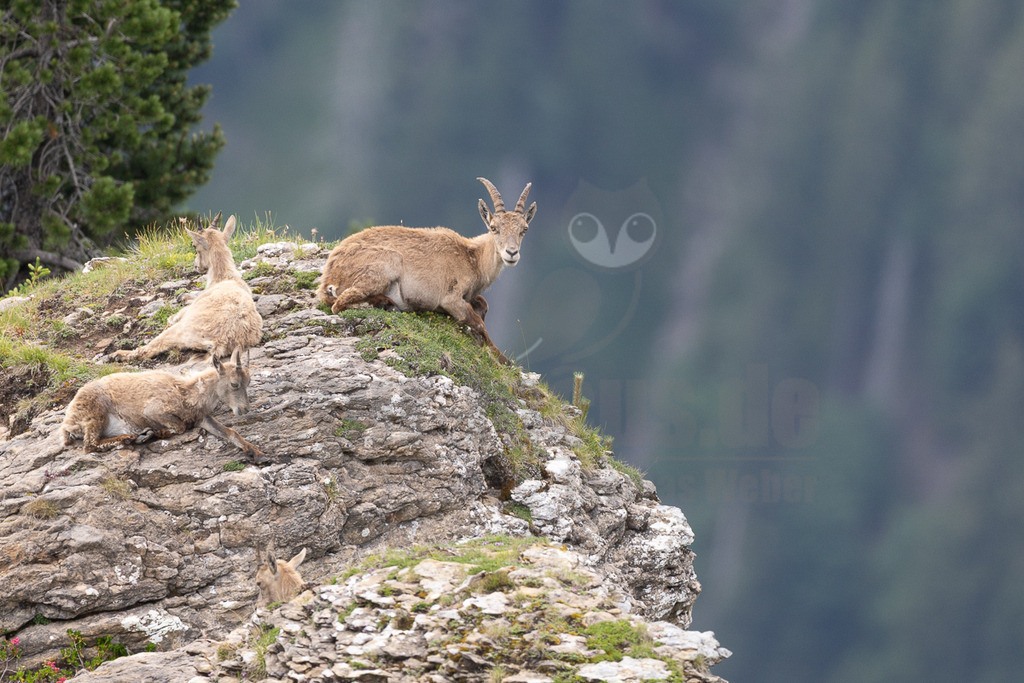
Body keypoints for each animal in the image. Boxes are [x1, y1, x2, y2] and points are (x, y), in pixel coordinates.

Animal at [60, 349, 266, 462]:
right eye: (234, 384)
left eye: (248, 382)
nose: (245, 409)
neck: (188, 393)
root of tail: (68, 423)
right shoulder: (154, 410)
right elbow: (179, 427)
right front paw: (154, 433)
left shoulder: (201, 418)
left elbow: (230, 432)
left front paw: (256, 452)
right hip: (96, 412)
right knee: (89, 445)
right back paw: (130, 438)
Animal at [113, 214, 263, 361]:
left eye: (194, 245)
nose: (196, 266)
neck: (225, 278)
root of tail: (220, 341)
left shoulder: (186, 311)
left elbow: (173, 316)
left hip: (181, 330)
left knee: (147, 350)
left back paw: (117, 354)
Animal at [317, 177, 537, 365]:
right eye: (493, 227)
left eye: (524, 229)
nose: (511, 253)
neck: (472, 258)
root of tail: (330, 275)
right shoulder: (451, 298)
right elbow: (477, 323)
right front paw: (504, 359)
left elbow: (483, 305)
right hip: (388, 262)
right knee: (339, 303)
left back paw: (385, 303)